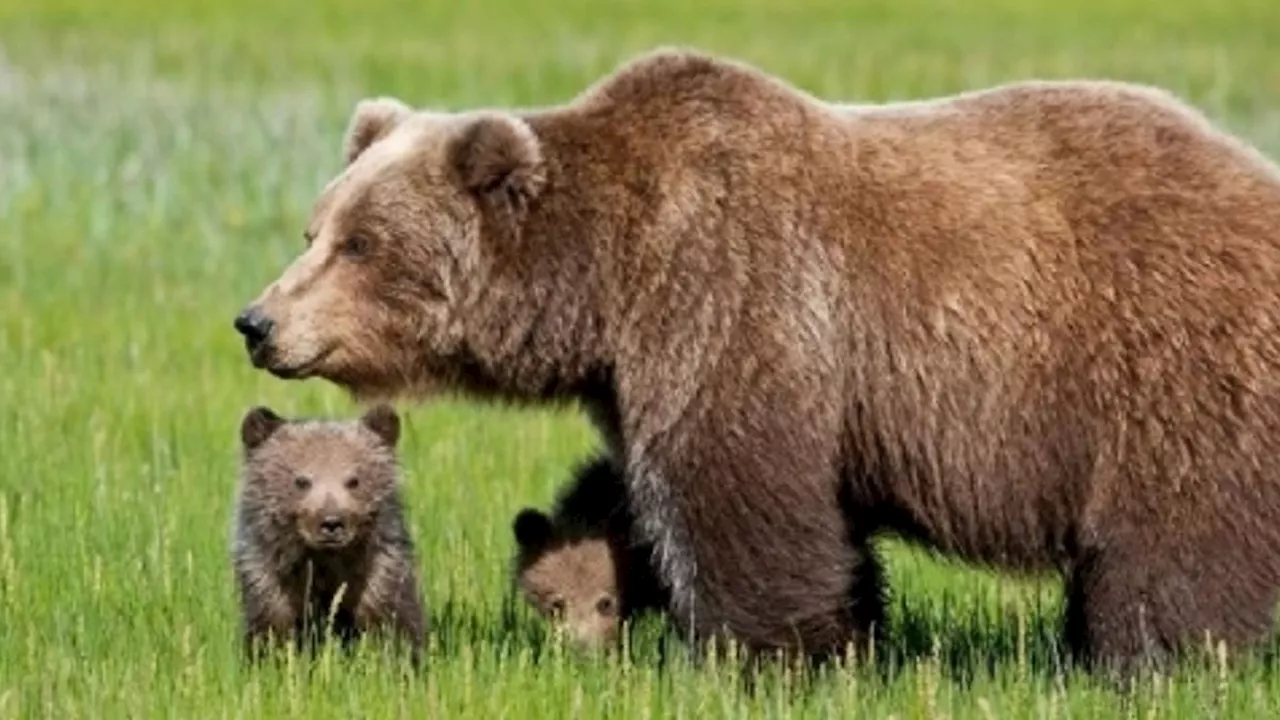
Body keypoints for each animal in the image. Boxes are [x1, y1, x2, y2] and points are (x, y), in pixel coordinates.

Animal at [235, 46, 1280, 671]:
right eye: (316, 229)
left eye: (362, 243)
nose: (257, 321)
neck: (606, 280)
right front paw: (851, 637)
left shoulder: (733, 297)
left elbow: (739, 495)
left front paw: (763, 654)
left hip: (1162, 364)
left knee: (1173, 540)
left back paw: (1155, 659)